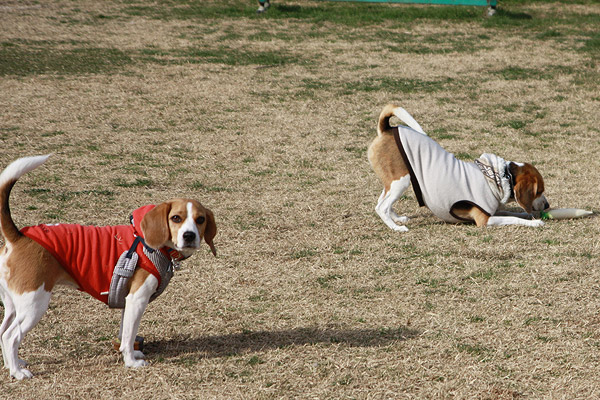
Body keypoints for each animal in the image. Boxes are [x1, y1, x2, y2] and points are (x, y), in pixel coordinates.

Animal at [0, 155, 216, 380]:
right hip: (34, 303)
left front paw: (130, 353)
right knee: (10, 336)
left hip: (14, 305)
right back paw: (18, 372)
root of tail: (19, 237)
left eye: (200, 219)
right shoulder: (137, 299)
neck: (152, 246)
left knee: (2, 332)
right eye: (176, 218)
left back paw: (11, 364)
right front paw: (131, 362)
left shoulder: (128, 301)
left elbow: (126, 332)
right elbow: (128, 337)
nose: (189, 236)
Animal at [366, 104, 548, 231]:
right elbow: (513, 219)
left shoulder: (492, 211)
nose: (547, 206)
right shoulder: (484, 219)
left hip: (392, 182)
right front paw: (535, 222)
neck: (498, 176)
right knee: (381, 207)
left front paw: (526, 214)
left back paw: (398, 218)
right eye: (539, 191)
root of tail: (387, 129)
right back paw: (397, 227)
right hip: (401, 181)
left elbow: (511, 213)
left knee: (381, 201)